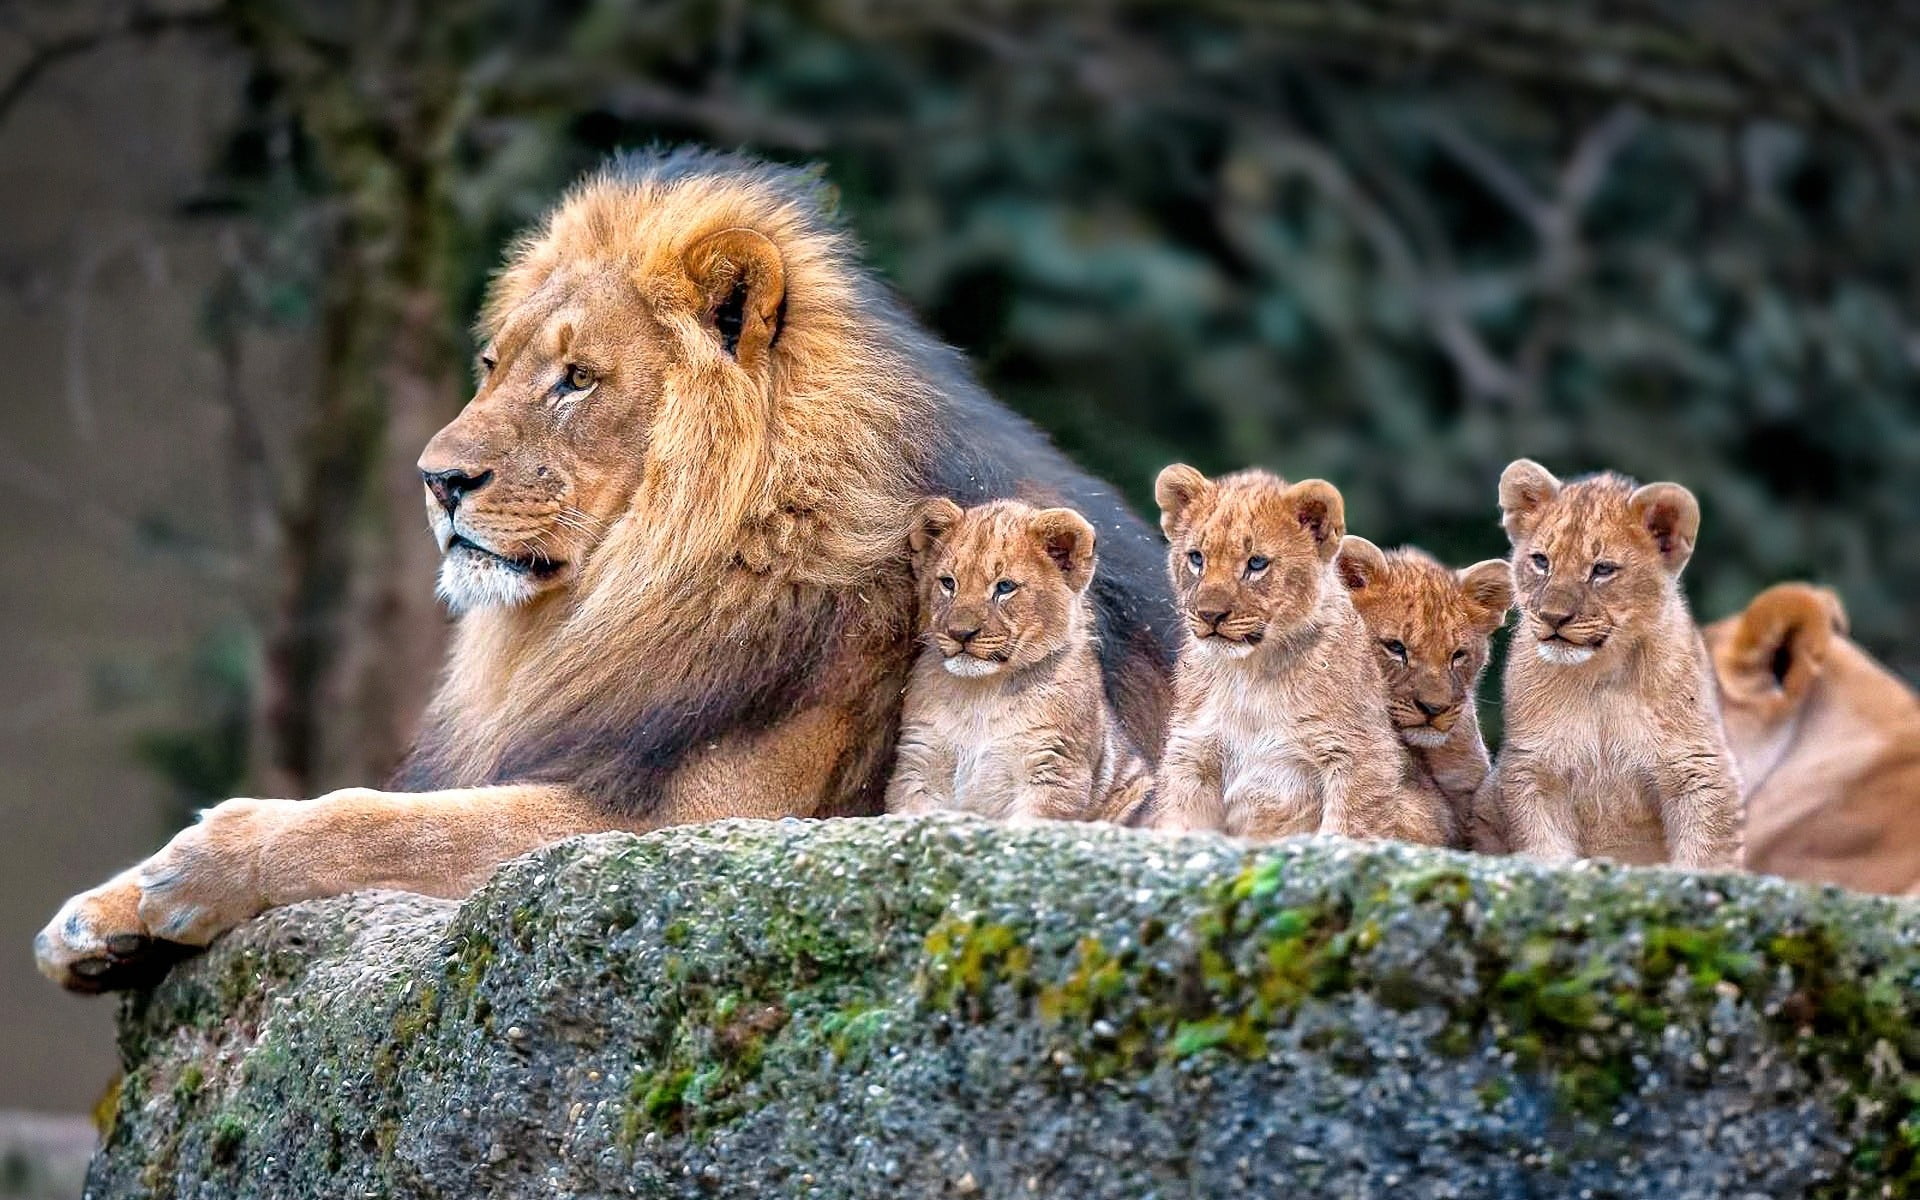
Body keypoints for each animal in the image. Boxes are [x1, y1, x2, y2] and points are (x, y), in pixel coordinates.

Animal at [885, 498, 1153, 824]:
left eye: (1004, 587)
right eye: (948, 583)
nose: (960, 633)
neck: (981, 695)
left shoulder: (1054, 770)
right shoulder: (919, 764)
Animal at [1148, 465, 1446, 845]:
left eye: (1256, 563)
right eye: (1196, 558)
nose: (1210, 615)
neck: (1250, 674)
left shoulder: (1361, 755)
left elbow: (1347, 828)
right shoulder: (1193, 754)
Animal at [1480, 459, 1741, 869]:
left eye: (1602, 569)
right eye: (1541, 561)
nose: (1553, 618)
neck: (1600, 675)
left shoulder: (1697, 767)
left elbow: (1704, 853)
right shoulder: (1534, 767)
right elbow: (1544, 846)